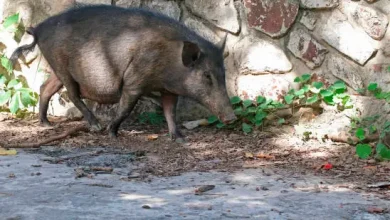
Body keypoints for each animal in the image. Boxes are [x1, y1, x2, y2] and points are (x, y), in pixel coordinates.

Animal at [10, 5, 236, 143]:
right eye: (207, 75)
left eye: (223, 73)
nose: (232, 117)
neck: (169, 61)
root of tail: (38, 29)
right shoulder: (134, 81)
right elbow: (126, 108)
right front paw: (112, 134)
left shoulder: (169, 90)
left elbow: (170, 111)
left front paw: (180, 139)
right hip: (61, 65)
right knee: (72, 94)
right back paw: (95, 126)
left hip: (57, 69)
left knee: (45, 87)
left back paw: (46, 123)